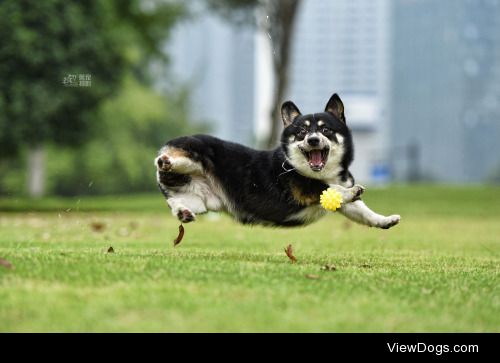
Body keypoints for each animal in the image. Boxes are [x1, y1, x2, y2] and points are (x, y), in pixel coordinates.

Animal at [154, 94, 400, 230]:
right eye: (301, 133)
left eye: (325, 130)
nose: (312, 140)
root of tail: (167, 144)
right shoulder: (304, 189)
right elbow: (332, 189)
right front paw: (352, 191)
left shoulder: (346, 206)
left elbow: (364, 212)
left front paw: (385, 221)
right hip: (195, 156)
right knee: (170, 162)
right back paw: (165, 161)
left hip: (200, 201)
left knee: (175, 203)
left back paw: (183, 212)